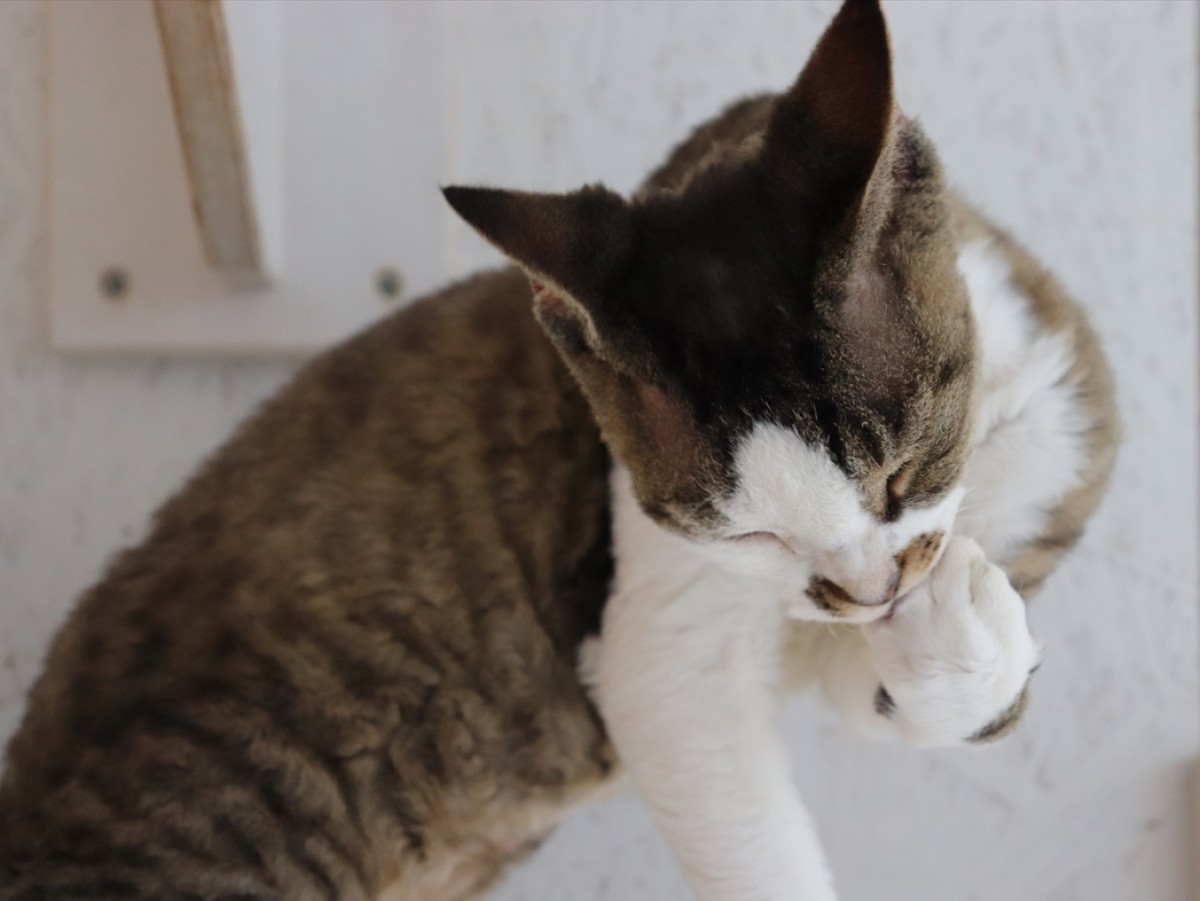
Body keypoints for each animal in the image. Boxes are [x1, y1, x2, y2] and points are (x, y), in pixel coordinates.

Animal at [0, 1, 1113, 901]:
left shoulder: (1053, 437)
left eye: (897, 473)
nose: (871, 588)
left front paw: (961, 624)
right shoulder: (660, 641)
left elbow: (908, 692)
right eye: (744, 532)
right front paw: (950, 610)